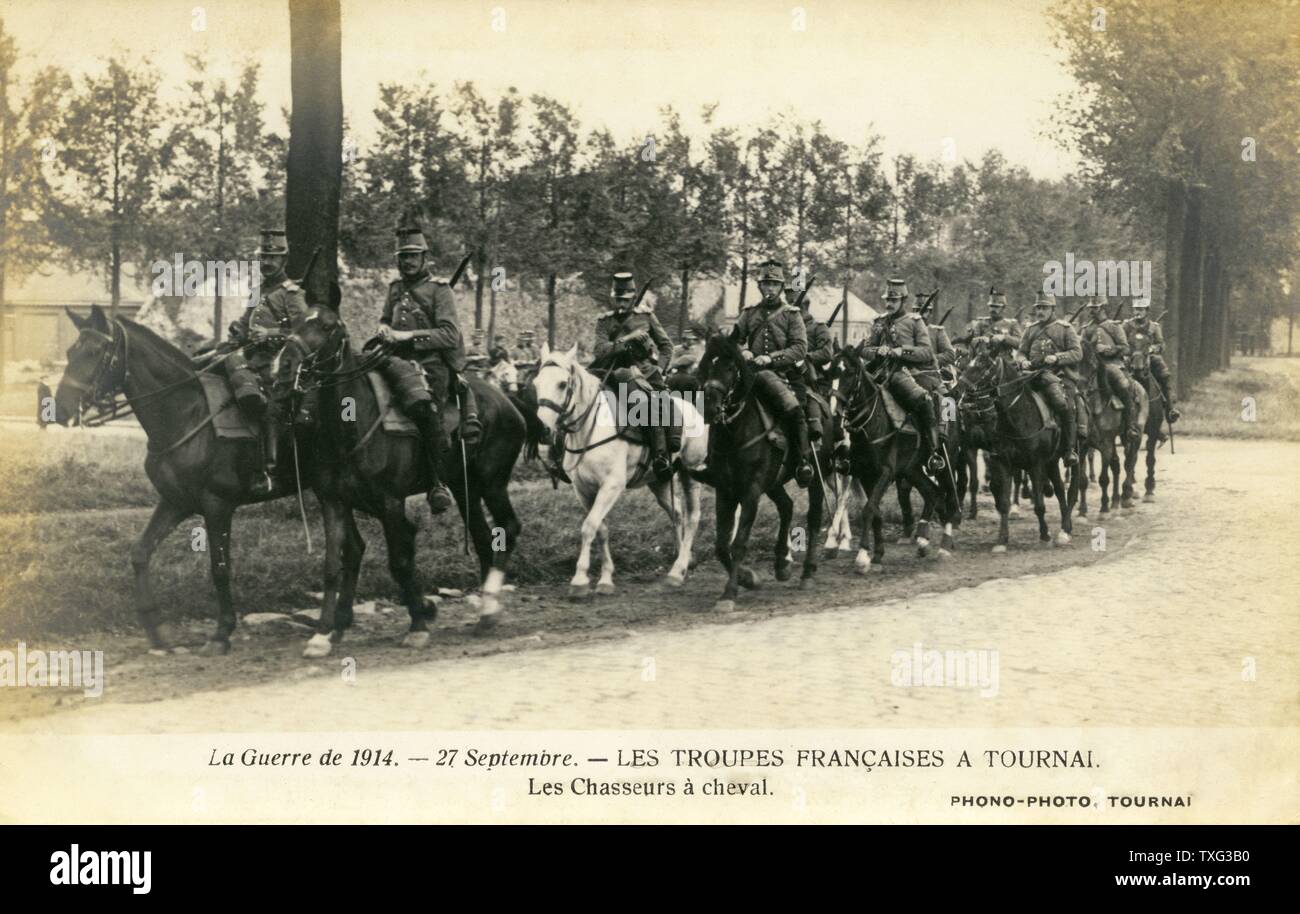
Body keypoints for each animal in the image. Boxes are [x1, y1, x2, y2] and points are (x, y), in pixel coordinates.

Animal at [51, 304, 317, 655]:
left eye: (95, 351)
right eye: (70, 351)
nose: (58, 409)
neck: (187, 414)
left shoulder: (218, 505)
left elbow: (219, 567)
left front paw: (221, 632)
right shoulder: (175, 502)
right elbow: (140, 553)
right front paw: (156, 628)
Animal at [271, 309, 530, 657]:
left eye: (326, 326)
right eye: (295, 321)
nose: (282, 366)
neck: (350, 422)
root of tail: (508, 402)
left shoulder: (390, 501)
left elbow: (400, 561)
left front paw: (418, 626)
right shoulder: (334, 501)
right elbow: (333, 565)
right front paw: (322, 635)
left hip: (493, 483)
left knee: (509, 528)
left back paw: (488, 607)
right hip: (466, 489)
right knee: (485, 539)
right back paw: (486, 612)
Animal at [527, 343, 707, 600]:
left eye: (562, 384)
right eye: (536, 383)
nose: (541, 429)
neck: (590, 430)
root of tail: (693, 407)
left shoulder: (611, 486)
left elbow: (589, 527)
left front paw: (580, 580)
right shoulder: (583, 490)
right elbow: (600, 529)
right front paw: (605, 578)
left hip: (691, 473)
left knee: (692, 517)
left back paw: (677, 571)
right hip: (659, 480)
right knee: (678, 512)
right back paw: (683, 558)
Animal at [826, 343, 961, 572]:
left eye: (850, 373)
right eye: (830, 372)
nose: (834, 418)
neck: (873, 424)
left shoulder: (885, 473)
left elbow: (868, 509)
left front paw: (862, 556)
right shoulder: (865, 474)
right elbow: (875, 512)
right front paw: (877, 553)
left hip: (945, 462)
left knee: (949, 495)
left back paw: (944, 546)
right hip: (912, 469)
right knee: (933, 493)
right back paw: (923, 541)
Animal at [956, 340, 1076, 551]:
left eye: (983, 366)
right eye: (966, 364)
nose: (958, 391)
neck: (1018, 417)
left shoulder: (1035, 464)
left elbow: (1039, 505)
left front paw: (1045, 535)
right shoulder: (1003, 462)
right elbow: (1003, 501)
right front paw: (1002, 539)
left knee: (1066, 489)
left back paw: (1066, 528)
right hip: (1051, 461)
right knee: (1060, 488)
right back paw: (1064, 527)